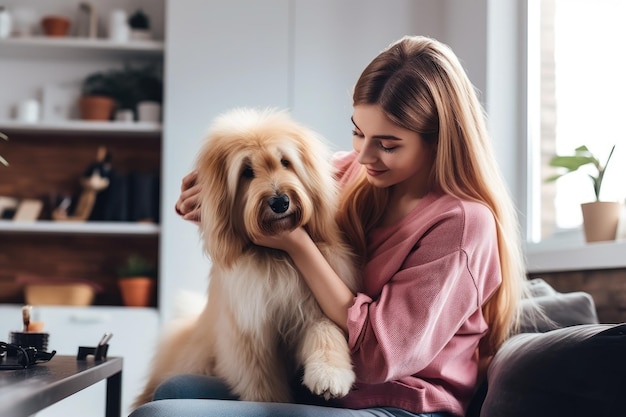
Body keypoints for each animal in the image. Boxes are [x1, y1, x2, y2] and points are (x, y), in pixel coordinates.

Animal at [133, 108, 356, 410]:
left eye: (285, 162)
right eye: (247, 172)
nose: (280, 202)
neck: (278, 256)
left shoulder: (315, 305)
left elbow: (326, 334)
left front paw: (330, 376)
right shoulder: (249, 330)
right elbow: (260, 376)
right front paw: (270, 401)